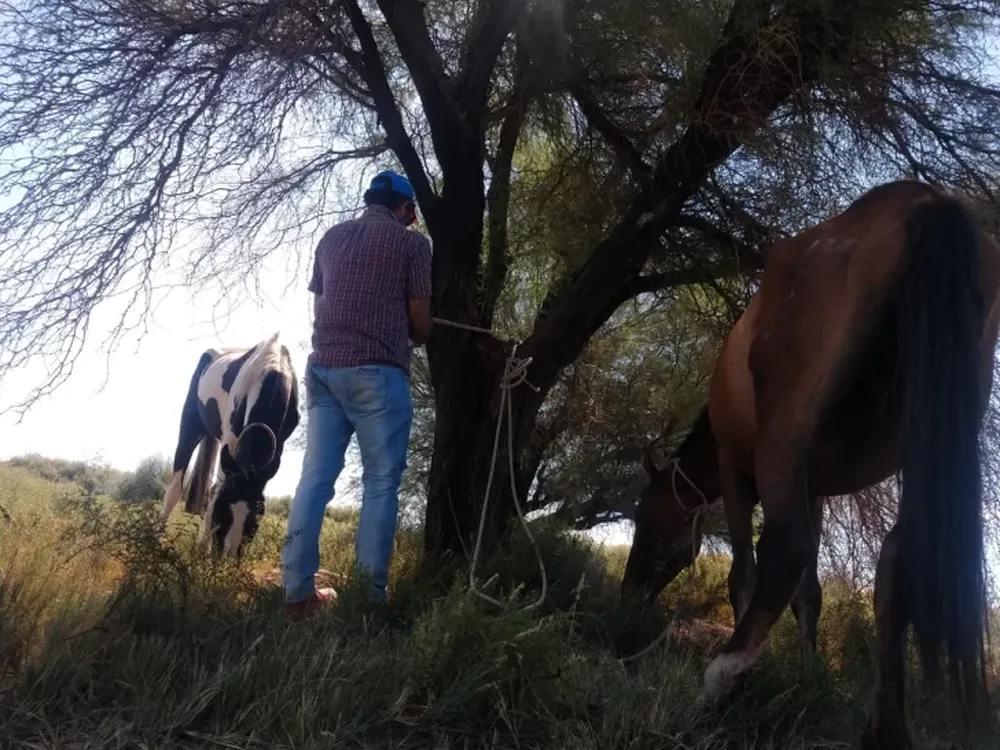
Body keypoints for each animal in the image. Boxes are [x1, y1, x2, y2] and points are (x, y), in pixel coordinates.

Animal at [160, 332, 300, 557]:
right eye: (223, 511)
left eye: (257, 517)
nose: (228, 556)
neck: (272, 369)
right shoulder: (230, 442)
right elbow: (215, 492)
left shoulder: (277, 446)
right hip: (191, 424)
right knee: (176, 485)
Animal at [621, 180, 1000, 749]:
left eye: (646, 518)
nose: (628, 592)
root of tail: (923, 202)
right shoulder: (816, 488)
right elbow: (811, 593)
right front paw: (807, 673)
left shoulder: (738, 469)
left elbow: (745, 572)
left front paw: (758, 675)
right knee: (896, 562)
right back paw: (885, 728)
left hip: (785, 434)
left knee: (786, 547)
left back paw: (718, 682)